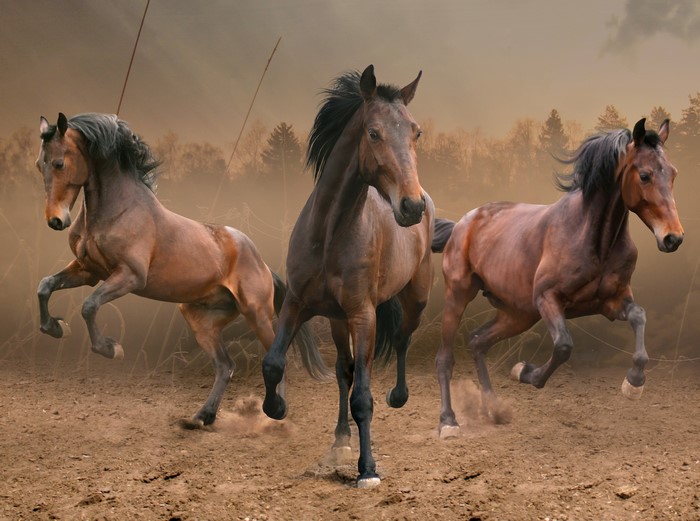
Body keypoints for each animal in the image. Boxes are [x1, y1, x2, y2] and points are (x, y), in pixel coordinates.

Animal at [35, 112, 328, 427]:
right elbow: (45, 286)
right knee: (225, 365)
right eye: (39, 164)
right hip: (201, 319)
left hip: (256, 313)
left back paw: (275, 410)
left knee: (273, 357)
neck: (118, 211)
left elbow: (89, 306)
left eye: (59, 163)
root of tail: (262, 264)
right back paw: (203, 417)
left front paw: (111, 349)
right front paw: (55, 328)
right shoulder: (89, 272)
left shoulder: (129, 276)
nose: (56, 220)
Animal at [260, 65, 433, 488]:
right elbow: (274, 362)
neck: (329, 234)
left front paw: (367, 469)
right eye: (373, 132)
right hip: (338, 321)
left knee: (401, 339)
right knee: (345, 370)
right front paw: (277, 407)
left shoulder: (363, 315)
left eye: (416, 132)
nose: (412, 206)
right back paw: (340, 438)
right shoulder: (297, 304)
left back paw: (398, 397)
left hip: (415, 298)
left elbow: (364, 398)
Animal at [431, 118, 683, 438]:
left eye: (673, 173)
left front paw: (633, 384)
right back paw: (448, 422)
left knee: (477, 342)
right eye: (645, 175)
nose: (673, 238)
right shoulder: (548, 299)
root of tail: (461, 225)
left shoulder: (612, 302)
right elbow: (564, 346)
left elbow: (639, 316)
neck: (593, 239)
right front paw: (525, 372)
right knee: (445, 358)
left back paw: (494, 409)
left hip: (518, 314)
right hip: (459, 295)